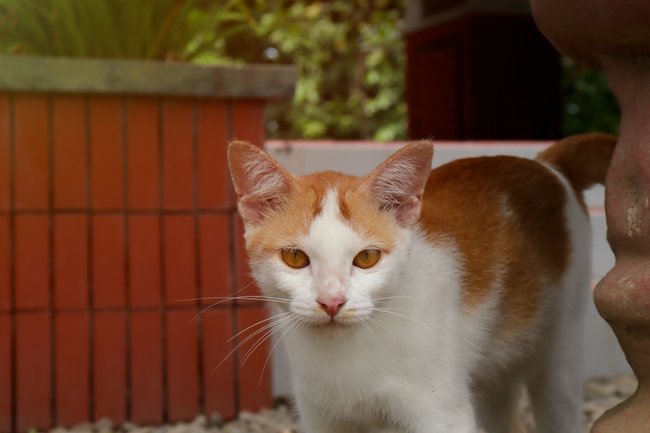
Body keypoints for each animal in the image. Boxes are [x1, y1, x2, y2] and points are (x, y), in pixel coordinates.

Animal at [227, 132, 612, 432]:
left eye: (366, 258)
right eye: (295, 258)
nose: (332, 301)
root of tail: (545, 164)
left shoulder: (442, 415)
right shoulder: (323, 418)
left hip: (559, 353)